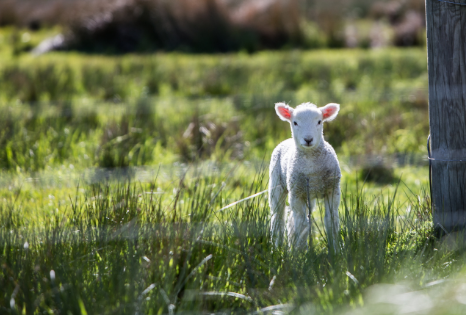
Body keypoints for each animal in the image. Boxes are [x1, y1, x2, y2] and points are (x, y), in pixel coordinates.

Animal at [268, 102, 340, 251]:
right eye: (295, 122)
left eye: (319, 121)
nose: (308, 139)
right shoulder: (297, 193)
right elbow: (302, 224)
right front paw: (301, 252)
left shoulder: (332, 190)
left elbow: (331, 222)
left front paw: (335, 250)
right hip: (277, 184)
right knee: (278, 218)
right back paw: (277, 247)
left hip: (308, 195)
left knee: (291, 219)